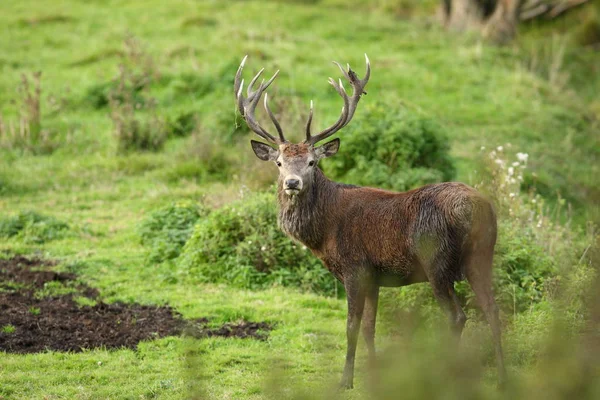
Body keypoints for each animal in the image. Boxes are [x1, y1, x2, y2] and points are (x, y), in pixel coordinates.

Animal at [234, 54, 506, 390]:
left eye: (312, 162)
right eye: (279, 162)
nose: (293, 183)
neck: (324, 234)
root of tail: (478, 208)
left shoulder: (355, 268)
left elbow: (351, 327)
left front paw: (345, 381)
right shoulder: (376, 277)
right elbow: (369, 329)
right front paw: (374, 377)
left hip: (437, 261)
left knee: (458, 317)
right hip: (482, 254)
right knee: (493, 309)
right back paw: (503, 378)